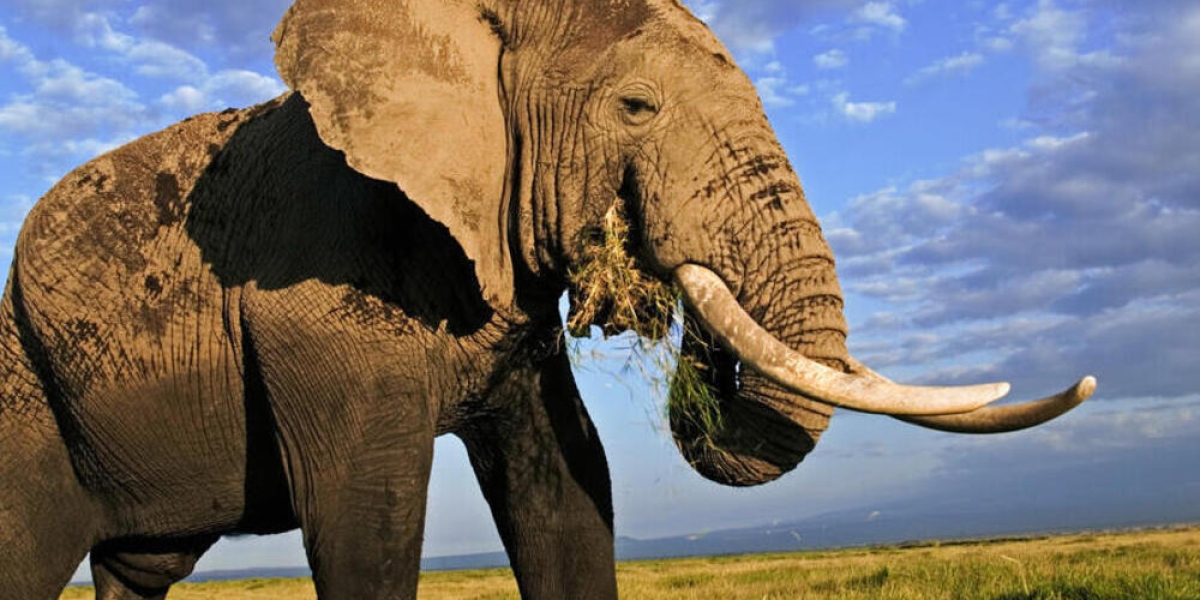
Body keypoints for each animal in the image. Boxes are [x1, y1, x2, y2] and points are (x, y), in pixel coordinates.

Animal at [0, 0, 1097, 598]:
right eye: (636, 107)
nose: (642, 259)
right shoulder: (315, 295)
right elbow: (367, 513)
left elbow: (569, 489)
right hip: (23, 394)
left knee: (137, 573)